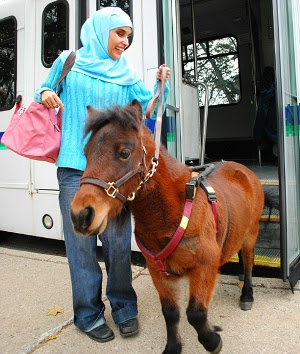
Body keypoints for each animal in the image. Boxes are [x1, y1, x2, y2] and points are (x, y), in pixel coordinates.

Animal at [71, 99, 264, 354]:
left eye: (124, 152)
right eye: (85, 153)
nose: (80, 215)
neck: (171, 214)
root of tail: (243, 170)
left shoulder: (204, 266)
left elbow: (196, 314)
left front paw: (212, 341)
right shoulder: (159, 273)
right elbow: (171, 313)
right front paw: (174, 346)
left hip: (251, 234)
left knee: (249, 262)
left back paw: (247, 295)